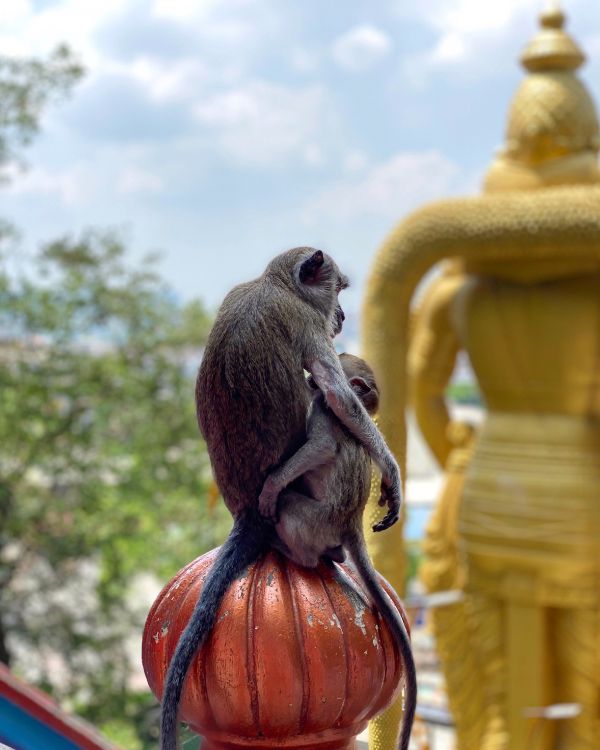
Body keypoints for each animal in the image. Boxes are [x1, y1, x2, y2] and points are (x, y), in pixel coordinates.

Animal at [258, 352, 416, 750]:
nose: (310, 376)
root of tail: (349, 525)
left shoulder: (322, 410)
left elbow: (321, 447)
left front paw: (273, 484)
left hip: (315, 520)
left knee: (289, 507)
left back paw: (294, 550)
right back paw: (335, 556)